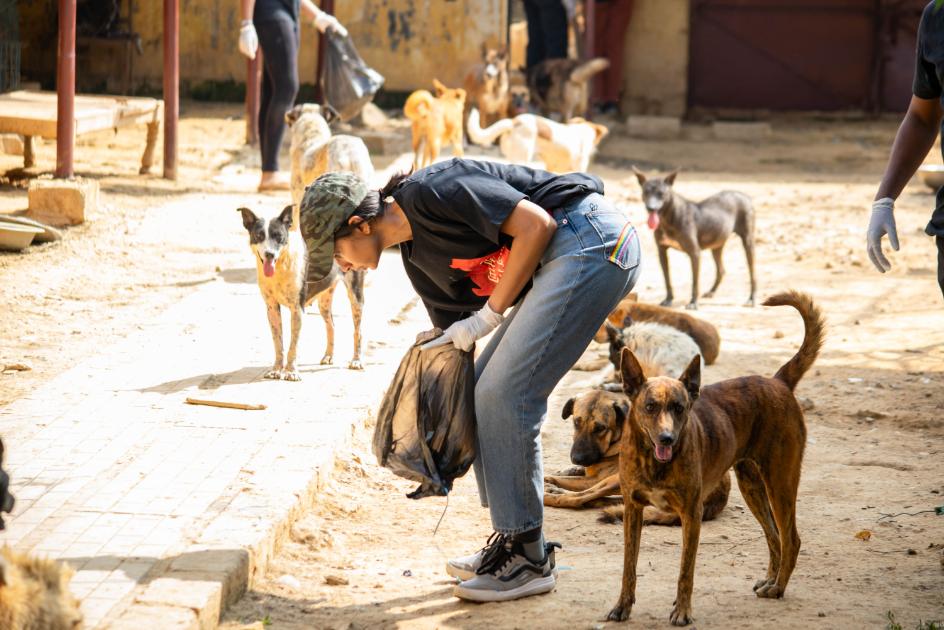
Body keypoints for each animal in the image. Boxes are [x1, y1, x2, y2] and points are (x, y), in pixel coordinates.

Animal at [240, 205, 366, 378]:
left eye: (279, 236)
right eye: (258, 235)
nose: (269, 254)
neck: (281, 265)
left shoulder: (297, 309)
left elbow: (293, 345)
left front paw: (291, 371)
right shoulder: (272, 308)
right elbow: (278, 343)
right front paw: (276, 370)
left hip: (355, 296)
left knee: (357, 331)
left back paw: (356, 361)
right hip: (324, 302)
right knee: (331, 326)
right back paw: (328, 356)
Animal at [540, 390, 732, 528]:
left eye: (600, 428)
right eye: (576, 422)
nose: (577, 458)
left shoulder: (594, 479)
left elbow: (571, 481)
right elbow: (562, 474)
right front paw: (556, 475)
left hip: (616, 479)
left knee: (579, 499)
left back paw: (551, 495)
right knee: (600, 500)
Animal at [608, 292, 824, 628]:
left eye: (680, 408)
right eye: (650, 407)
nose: (667, 439)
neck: (655, 464)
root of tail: (778, 382)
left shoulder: (691, 514)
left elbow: (685, 572)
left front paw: (682, 611)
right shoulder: (633, 510)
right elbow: (628, 567)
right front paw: (623, 606)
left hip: (780, 483)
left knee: (791, 539)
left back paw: (778, 587)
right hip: (752, 487)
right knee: (774, 537)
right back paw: (770, 580)